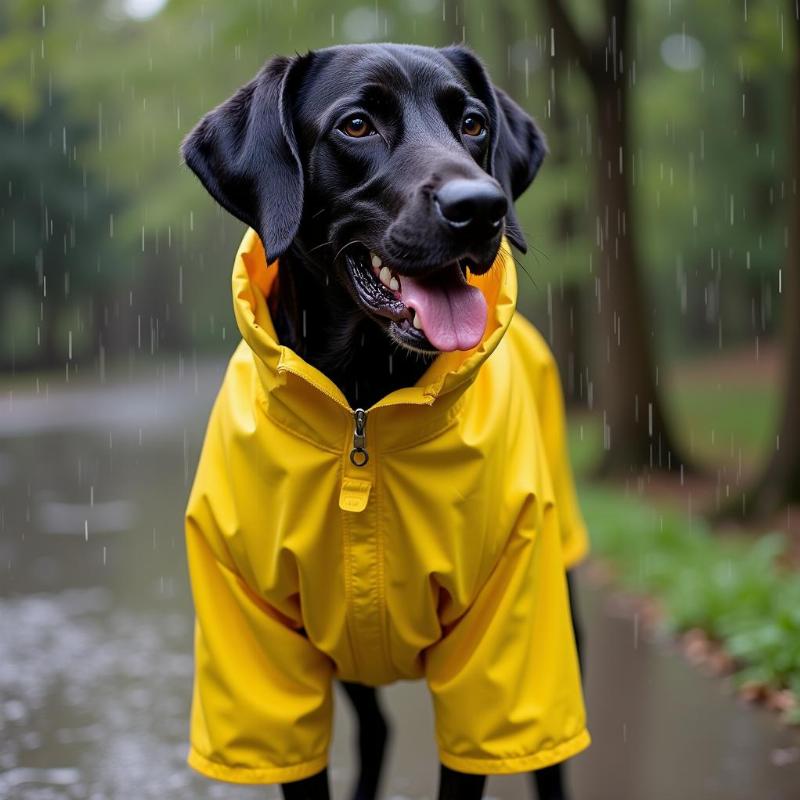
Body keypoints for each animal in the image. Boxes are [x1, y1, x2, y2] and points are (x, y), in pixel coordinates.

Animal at [182, 43, 580, 800]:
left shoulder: (497, 650)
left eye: (473, 123)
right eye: (357, 124)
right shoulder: (266, 658)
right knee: (376, 730)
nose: (481, 208)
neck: (363, 404)